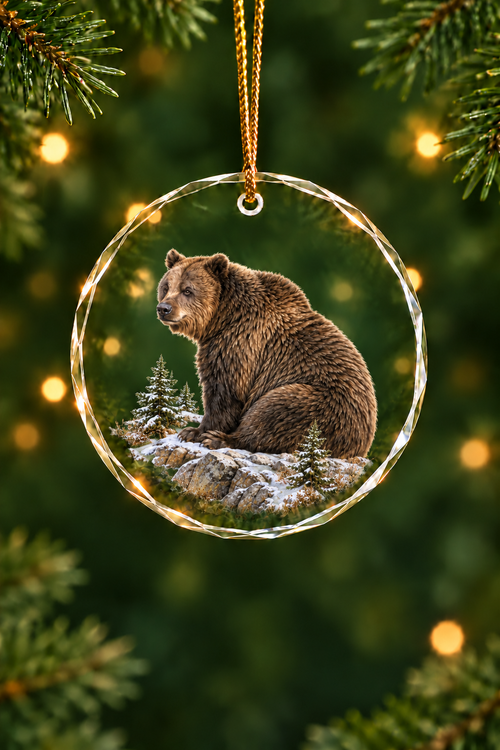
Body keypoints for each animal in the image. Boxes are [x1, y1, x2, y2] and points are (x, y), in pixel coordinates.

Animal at [156, 249, 377, 458]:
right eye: (166, 287)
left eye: (187, 290)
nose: (164, 308)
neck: (222, 317)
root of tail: (362, 446)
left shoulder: (240, 343)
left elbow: (226, 391)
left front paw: (195, 432)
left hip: (324, 405)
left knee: (275, 413)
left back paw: (222, 439)